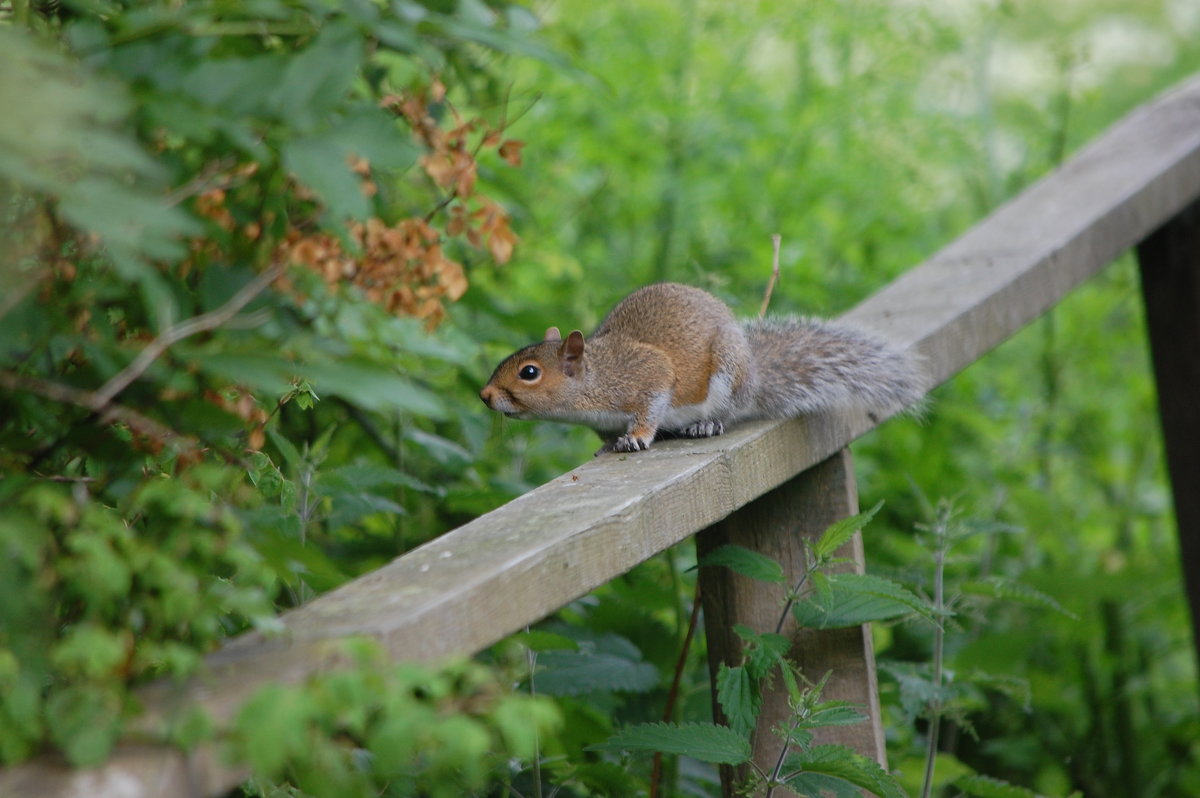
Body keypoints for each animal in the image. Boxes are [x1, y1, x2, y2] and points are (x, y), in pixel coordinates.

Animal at [477, 283, 926, 451]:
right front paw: (608, 443)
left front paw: (635, 437)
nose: (484, 395)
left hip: (727, 374)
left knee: (726, 411)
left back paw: (706, 425)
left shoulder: (648, 374)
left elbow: (652, 403)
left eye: (529, 372)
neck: (597, 379)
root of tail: (754, 380)